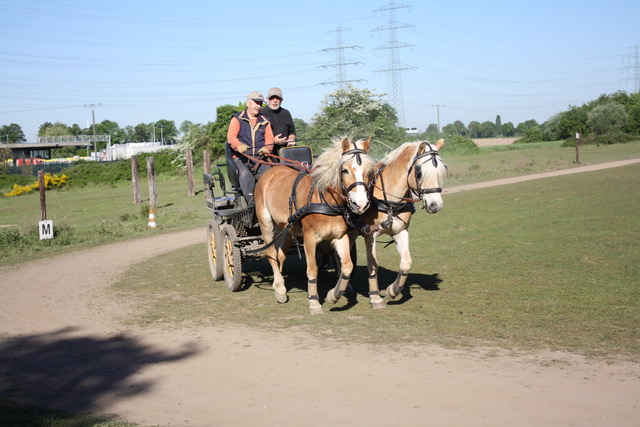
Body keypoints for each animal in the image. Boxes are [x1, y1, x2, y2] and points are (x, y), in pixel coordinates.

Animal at [254, 136, 376, 314]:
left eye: (369, 171)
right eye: (345, 170)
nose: (360, 204)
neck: (326, 200)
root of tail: (270, 172)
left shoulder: (340, 237)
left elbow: (347, 266)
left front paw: (334, 295)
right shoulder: (310, 238)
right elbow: (312, 269)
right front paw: (314, 301)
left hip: (285, 227)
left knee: (280, 254)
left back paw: (279, 283)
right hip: (266, 223)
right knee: (271, 253)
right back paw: (280, 289)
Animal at [358, 139, 448, 310]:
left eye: (443, 169)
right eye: (419, 172)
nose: (436, 205)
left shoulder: (400, 231)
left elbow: (406, 263)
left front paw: (393, 290)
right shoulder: (370, 234)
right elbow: (372, 263)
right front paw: (375, 297)